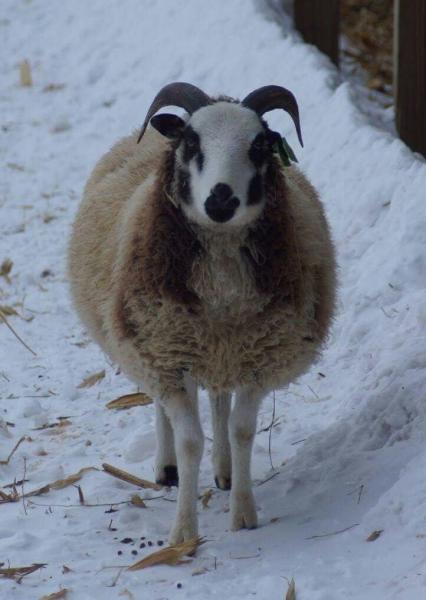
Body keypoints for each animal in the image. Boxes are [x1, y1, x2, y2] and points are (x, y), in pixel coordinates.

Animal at [69, 81, 336, 544]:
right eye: (192, 142)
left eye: (260, 144)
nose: (221, 199)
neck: (222, 288)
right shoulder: (165, 354)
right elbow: (189, 440)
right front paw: (183, 533)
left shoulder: (257, 357)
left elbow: (241, 429)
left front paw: (243, 514)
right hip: (162, 342)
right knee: (169, 407)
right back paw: (167, 468)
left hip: (219, 349)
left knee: (218, 399)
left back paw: (225, 471)